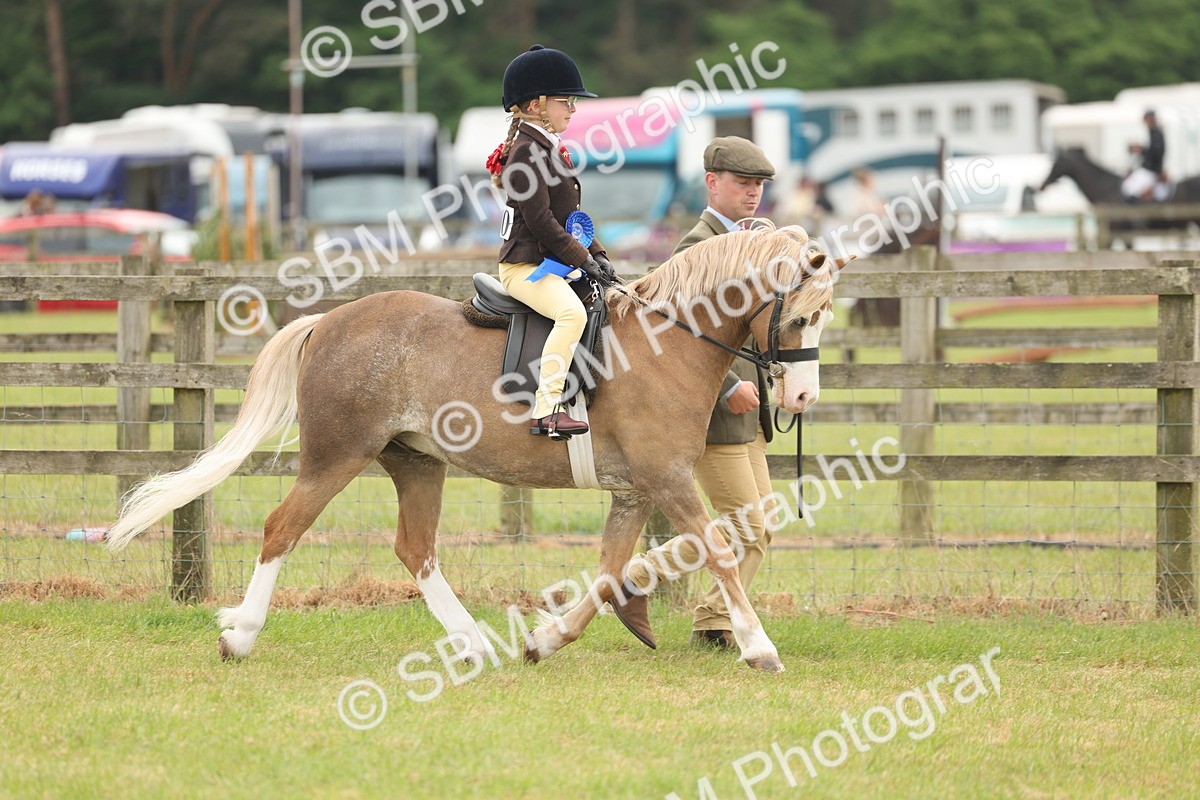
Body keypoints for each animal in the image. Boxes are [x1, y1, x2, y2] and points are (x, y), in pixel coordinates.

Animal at [105, 223, 847, 673]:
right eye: (802, 317)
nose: (803, 399)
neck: (667, 341)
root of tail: (329, 320)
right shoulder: (667, 481)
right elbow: (717, 550)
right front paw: (759, 646)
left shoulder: (635, 491)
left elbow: (608, 573)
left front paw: (546, 638)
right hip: (336, 457)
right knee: (282, 529)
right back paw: (240, 635)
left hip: (416, 462)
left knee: (416, 549)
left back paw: (470, 641)